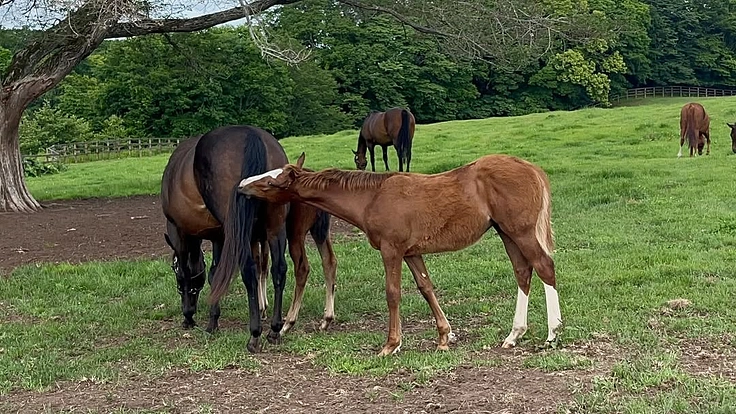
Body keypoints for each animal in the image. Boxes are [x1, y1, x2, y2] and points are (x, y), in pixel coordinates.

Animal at [161, 126, 338, 353]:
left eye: (172, 269)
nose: (191, 308)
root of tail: (250, 134)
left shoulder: (181, 232)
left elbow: (188, 272)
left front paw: (191, 317)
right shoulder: (225, 237)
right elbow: (216, 273)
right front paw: (213, 319)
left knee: (253, 271)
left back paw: (257, 333)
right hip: (279, 226)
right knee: (285, 268)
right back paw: (277, 328)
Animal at [238, 153, 561, 357]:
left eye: (271, 182)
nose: (241, 186)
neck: (373, 197)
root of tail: (532, 169)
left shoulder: (391, 249)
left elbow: (393, 293)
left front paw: (391, 345)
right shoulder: (411, 253)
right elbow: (426, 287)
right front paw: (445, 336)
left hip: (520, 232)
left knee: (544, 266)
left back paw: (552, 334)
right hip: (506, 233)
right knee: (523, 272)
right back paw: (514, 335)